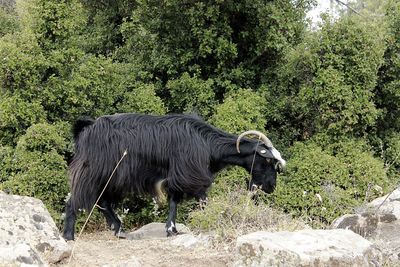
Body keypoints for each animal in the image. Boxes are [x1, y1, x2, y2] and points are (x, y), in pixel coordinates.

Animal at [62, 113, 286, 241]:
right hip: (93, 172)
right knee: (76, 199)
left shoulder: (178, 175)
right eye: (268, 161)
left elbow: (173, 202)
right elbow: (202, 200)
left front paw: (172, 230)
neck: (206, 143)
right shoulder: (189, 174)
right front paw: (211, 223)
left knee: (102, 201)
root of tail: (85, 130)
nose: (270, 187)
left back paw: (118, 230)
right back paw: (68, 236)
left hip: (110, 178)